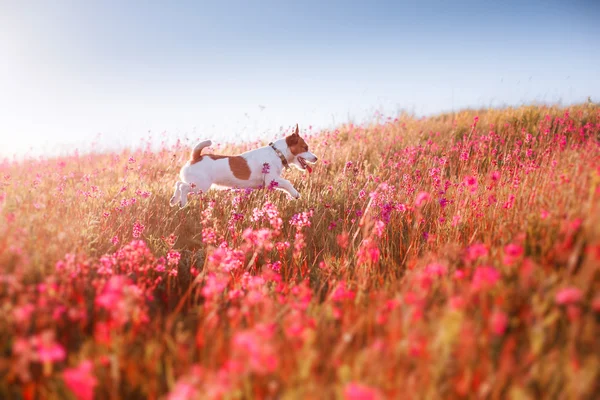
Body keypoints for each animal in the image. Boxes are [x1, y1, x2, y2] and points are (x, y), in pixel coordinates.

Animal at [170, 124, 318, 206]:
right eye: (305, 147)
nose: (316, 158)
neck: (277, 153)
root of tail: (196, 157)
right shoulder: (272, 179)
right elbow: (287, 183)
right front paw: (295, 194)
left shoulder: (272, 182)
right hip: (200, 186)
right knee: (183, 187)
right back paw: (182, 201)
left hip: (196, 184)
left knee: (178, 183)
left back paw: (174, 199)